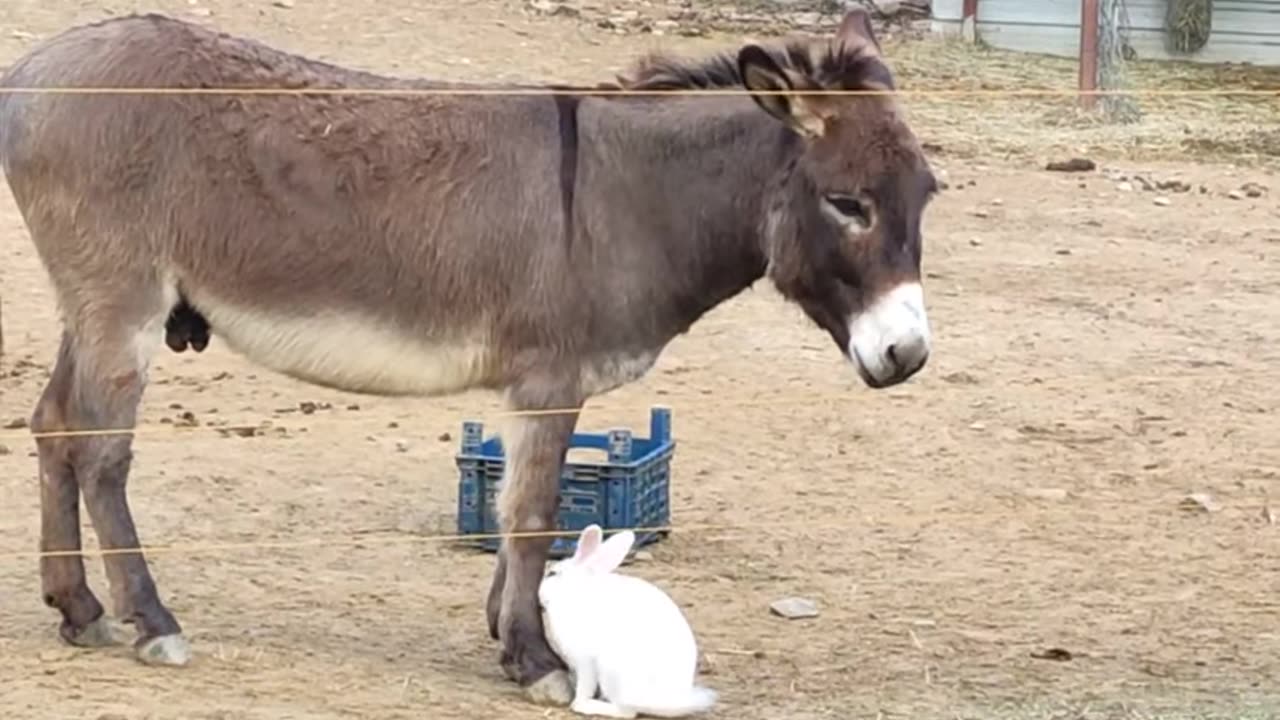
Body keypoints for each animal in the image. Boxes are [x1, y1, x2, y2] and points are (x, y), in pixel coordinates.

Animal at [537, 520, 721, 717]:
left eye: (552, 573)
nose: (539, 592)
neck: (573, 589)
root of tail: (666, 702)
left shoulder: (585, 662)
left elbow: (585, 687)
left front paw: (579, 701)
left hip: (612, 671)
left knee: (626, 712)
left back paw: (589, 706)